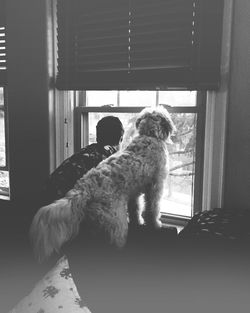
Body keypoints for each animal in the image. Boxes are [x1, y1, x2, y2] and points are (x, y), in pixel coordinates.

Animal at [30, 106, 176, 260]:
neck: (149, 136)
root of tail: (84, 188)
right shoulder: (156, 186)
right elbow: (153, 208)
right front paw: (155, 224)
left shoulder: (134, 193)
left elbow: (135, 209)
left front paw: (138, 222)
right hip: (116, 225)